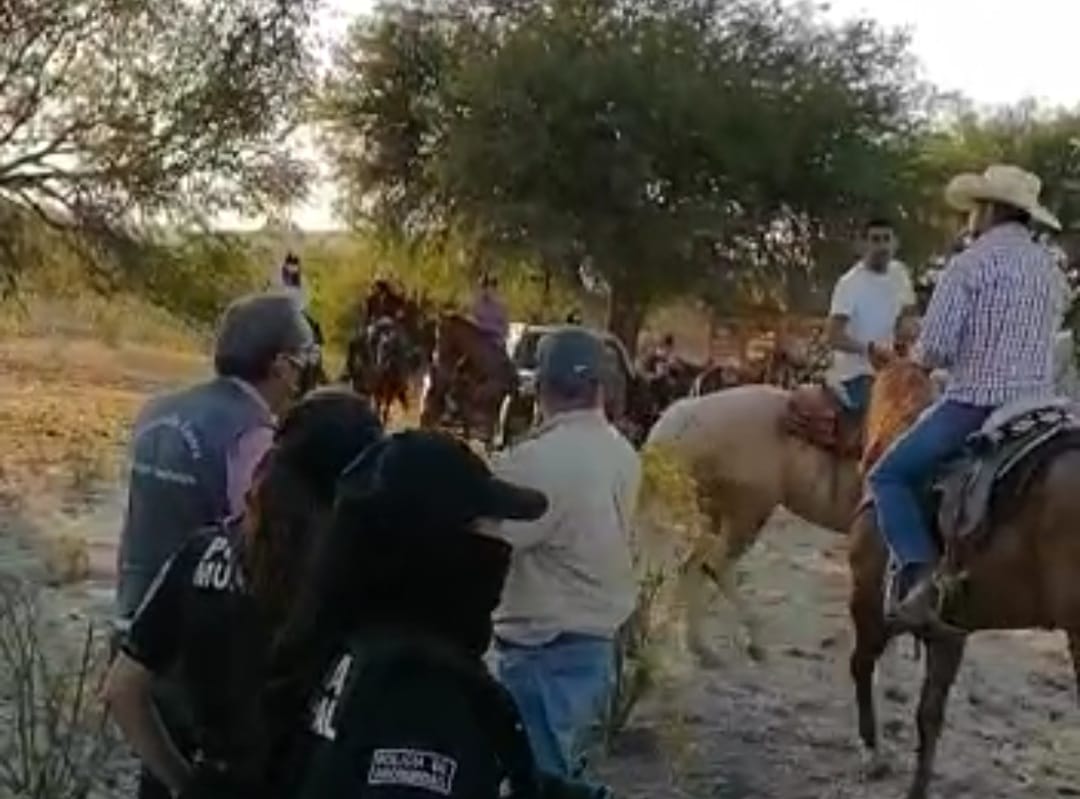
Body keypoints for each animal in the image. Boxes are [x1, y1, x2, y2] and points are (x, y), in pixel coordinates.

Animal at [846, 360, 1080, 798]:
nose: (863, 458)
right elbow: (930, 716)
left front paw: (870, 750)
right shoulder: (949, 631)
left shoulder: (867, 603)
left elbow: (861, 667)